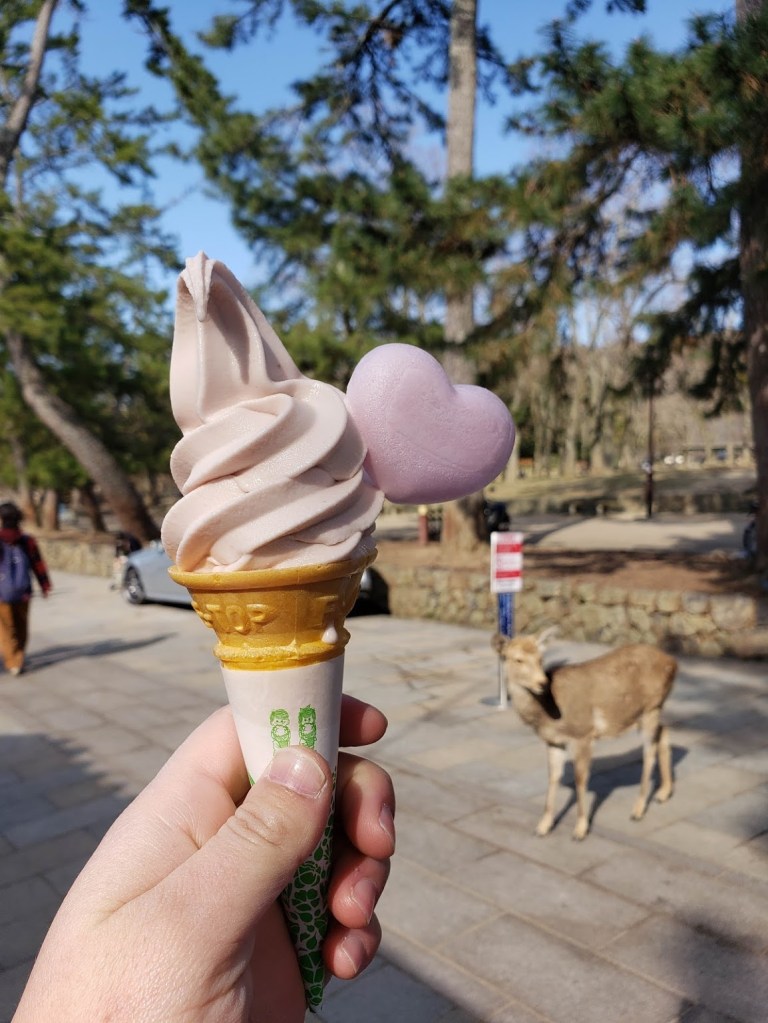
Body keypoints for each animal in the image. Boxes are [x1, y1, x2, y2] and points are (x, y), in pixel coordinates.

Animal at [492, 629, 676, 840]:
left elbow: (580, 779)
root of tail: (673, 663)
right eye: (518, 659)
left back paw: (637, 810)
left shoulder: (583, 733)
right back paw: (663, 793)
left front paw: (580, 830)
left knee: (649, 751)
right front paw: (543, 826)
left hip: (650, 708)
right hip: (645, 713)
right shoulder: (554, 741)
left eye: (540, 658)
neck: (548, 714)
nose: (542, 683)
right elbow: (553, 776)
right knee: (663, 731)